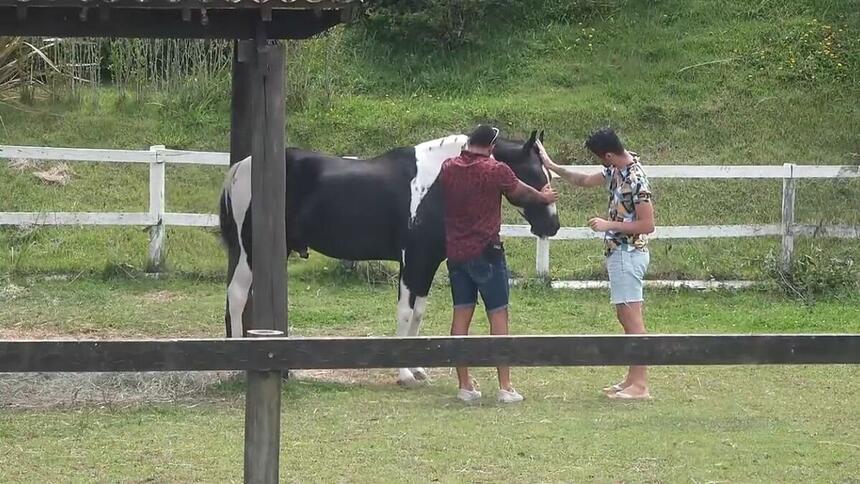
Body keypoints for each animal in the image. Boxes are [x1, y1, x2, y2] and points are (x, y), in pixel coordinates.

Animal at [218, 130, 560, 386]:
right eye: (532, 174)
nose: (552, 225)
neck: (437, 182)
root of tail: (242, 167)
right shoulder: (413, 261)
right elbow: (405, 313)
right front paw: (404, 372)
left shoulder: (428, 262)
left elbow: (419, 313)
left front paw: (418, 368)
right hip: (250, 252)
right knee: (236, 295)